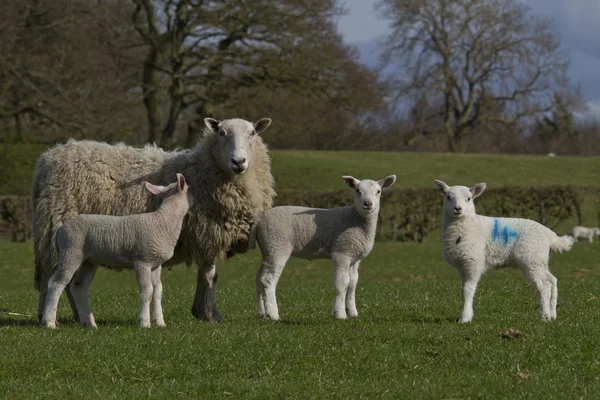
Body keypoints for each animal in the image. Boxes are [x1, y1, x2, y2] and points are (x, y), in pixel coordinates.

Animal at [41, 173, 193, 330]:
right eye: (189, 190)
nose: (194, 199)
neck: (164, 221)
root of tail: (61, 229)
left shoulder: (156, 263)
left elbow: (157, 291)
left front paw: (160, 322)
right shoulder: (142, 261)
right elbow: (147, 291)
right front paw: (144, 322)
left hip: (88, 261)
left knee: (79, 288)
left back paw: (89, 322)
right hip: (70, 252)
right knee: (56, 283)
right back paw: (49, 322)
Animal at [250, 173, 396, 320]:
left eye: (378, 191)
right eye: (357, 190)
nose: (368, 203)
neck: (355, 220)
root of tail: (260, 220)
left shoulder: (354, 257)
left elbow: (353, 284)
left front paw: (353, 312)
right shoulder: (341, 252)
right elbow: (343, 283)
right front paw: (340, 313)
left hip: (268, 249)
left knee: (259, 278)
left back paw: (262, 313)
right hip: (277, 245)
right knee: (268, 280)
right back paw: (273, 314)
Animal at [434, 180, 576, 324]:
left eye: (469, 198)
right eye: (448, 197)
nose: (458, 208)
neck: (470, 224)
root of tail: (550, 235)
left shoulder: (473, 262)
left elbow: (467, 290)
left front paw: (465, 318)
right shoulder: (462, 265)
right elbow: (463, 289)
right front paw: (466, 315)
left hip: (531, 259)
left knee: (544, 287)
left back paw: (544, 316)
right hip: (539, 260)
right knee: (552, 280)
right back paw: (552, 314)